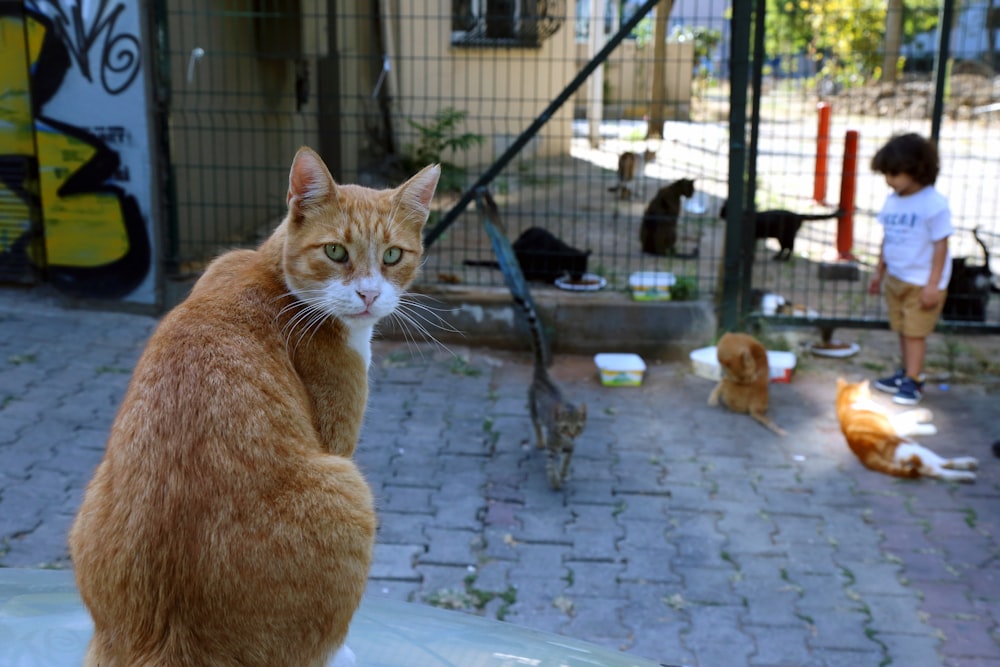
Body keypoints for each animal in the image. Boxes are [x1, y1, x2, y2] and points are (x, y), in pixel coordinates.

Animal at [70, 147, 442, 667]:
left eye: (392, 255)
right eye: (335, 252)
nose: (369, 294)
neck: (271, 273)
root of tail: (168, 640)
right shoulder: (336, 435)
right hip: (349, 490)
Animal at [836, 378, 976, 482]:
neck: (847, 405)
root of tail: (865, 451)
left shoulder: (892, 419)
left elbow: (907, 414)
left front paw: (925, 414)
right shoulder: (894, 425)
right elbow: (911, 423)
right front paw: (929, 427)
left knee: (937, 466)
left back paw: (968, 464)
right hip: (912, 448)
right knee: (935, 468)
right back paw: (966, 473)